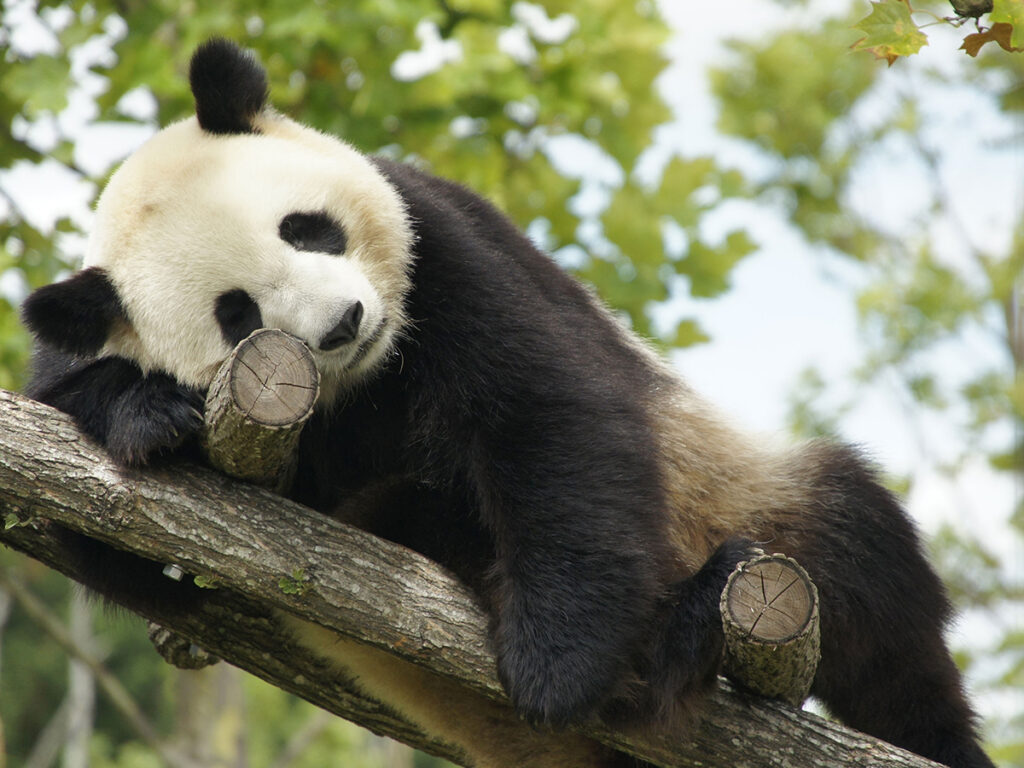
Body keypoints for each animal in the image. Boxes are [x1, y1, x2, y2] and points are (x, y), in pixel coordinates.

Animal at [22, 37, 991, 768]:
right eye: (237, 315)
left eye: (308, 230)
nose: (344, 323)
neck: (369, 384)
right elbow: (118, 553)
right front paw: (146, 414)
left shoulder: (444, 246)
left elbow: (546, 413)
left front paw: (556, 666)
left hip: (748, 500)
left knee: (870, 589)